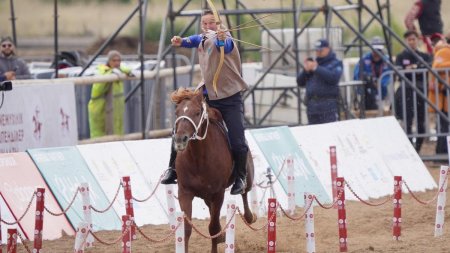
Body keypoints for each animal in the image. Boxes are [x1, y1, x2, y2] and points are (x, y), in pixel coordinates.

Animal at [171, 87, 255, 253]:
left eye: (197, 113)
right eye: (177, 112)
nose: (179, 140)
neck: (198, 159)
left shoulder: (218, 194)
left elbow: (213, 227)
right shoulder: (184, 192)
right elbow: (186, 229)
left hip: (247, 178)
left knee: (245, 193)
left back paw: (249, 216)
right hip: (206, 196)